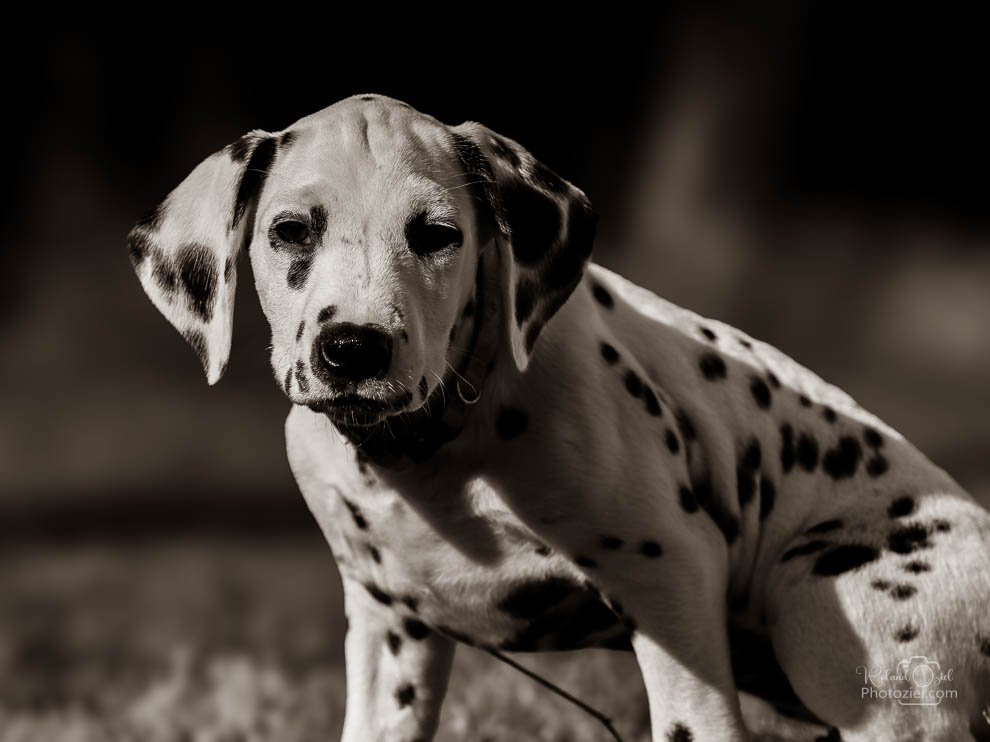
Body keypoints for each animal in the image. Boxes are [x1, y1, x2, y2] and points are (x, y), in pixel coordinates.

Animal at [128, 96, 990, 740]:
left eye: (437, 236)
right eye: (290, 232)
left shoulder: (671, 580)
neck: (432, 448)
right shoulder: (389, 629)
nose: (353, 348)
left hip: (833, 618)